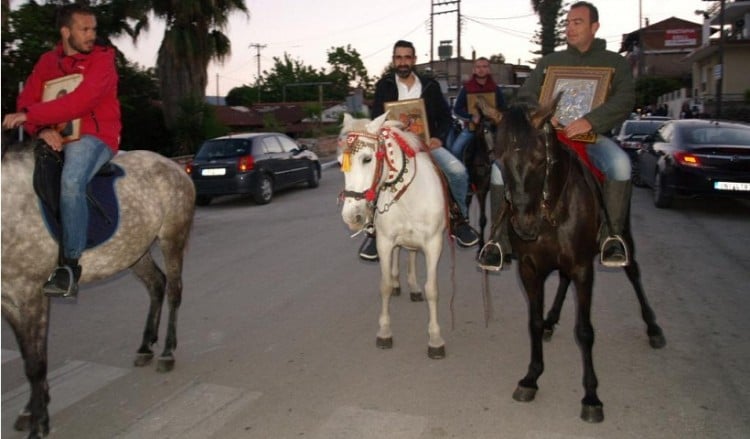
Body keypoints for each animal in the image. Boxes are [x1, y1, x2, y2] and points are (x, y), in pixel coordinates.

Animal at [1, 144, 195, 436]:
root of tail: (173, 166)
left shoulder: (32, 295)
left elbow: (36, 363)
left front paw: (39, 422)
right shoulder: (9, 301)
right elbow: (28, 356)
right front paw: (32, 409)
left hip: (172, 238)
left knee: (174, 290)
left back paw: (167, 353)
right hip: (133, 251)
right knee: (156, 284)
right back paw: (145, 347)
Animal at [338, 113, 450, 360]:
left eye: (367, 159)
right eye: (341, 163)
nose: (351, 216)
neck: (408, 194)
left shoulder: (434, 243)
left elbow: (432, 289)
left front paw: (435, 339)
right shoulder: (384, 242)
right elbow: (385, 285)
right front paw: (384, 332)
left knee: (411, 254)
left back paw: (413, 287)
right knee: (401, 254)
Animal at [488, 99, 668, 422]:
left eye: (539, 159)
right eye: (499, 159)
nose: (524, 225)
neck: (550, 209)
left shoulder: (584, 268)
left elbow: (585, 331)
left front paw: (592, 396)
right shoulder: (530, 268)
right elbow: (533, 322)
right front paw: (531, 378)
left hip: (623, 234)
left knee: (633, 271)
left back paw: (653, 328)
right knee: (562, 279)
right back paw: (551, 321)